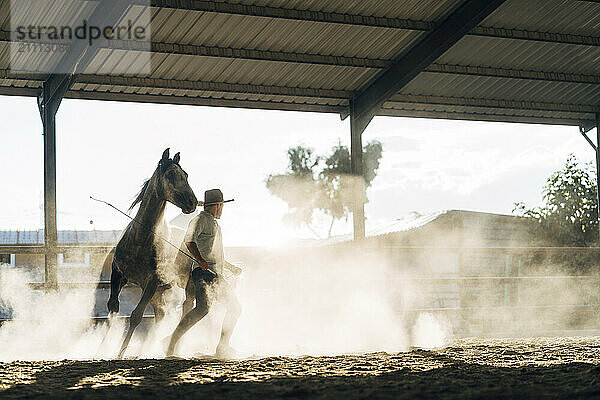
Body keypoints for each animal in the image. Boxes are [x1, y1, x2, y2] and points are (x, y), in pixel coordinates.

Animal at [106, 148, 198, 358]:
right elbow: (113, 309)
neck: (140, 239)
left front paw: (120, 353)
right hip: (158, 293)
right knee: (162, 314)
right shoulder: (118, 274)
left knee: (186, 310)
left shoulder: (152, 281)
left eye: (186, 175)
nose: (192, 202)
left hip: (185, 285)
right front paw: (101, 348)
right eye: (171, 174)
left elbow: (136, 316)